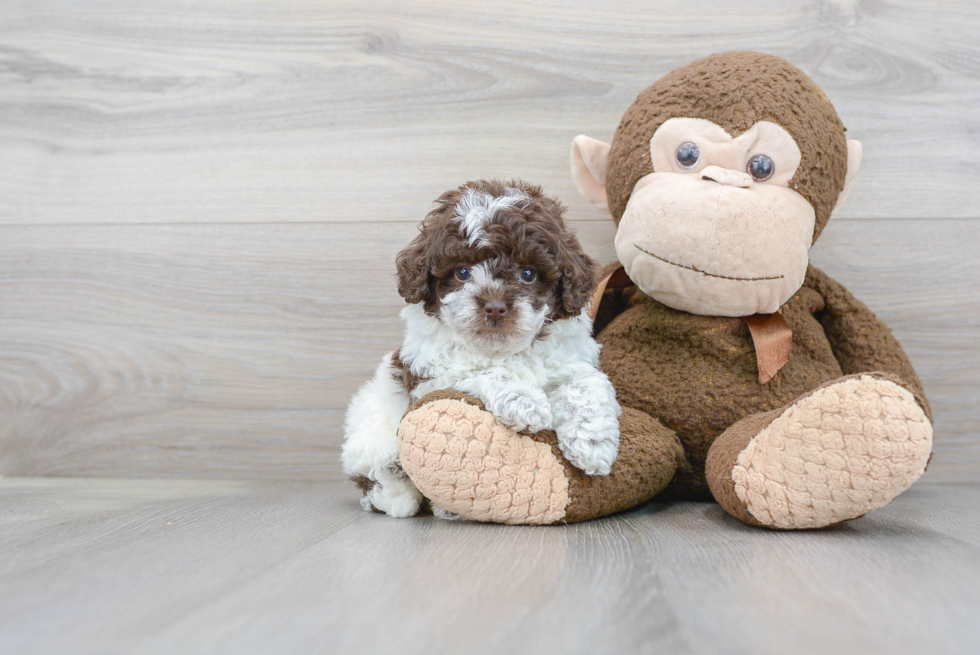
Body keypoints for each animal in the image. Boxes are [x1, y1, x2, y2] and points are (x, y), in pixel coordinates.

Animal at [342, 179, 620, 516]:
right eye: (462, 272)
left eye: (528, 274)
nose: (495, 307)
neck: (505, 350)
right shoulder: (430, 376)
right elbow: (482, 372)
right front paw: (525, 402)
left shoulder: (573, 360)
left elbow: (586, 384)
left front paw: (593, 445)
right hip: (370, 442)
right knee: (384, 480)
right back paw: (404, 497)